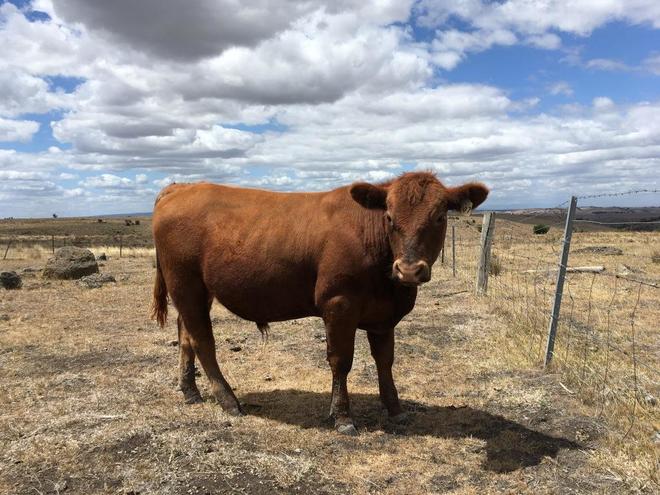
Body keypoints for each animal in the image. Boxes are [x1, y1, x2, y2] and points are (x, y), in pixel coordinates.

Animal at [151, 172, 488, 435]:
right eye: (390, 217)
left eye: (440, 217)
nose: (408, 270)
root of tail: (181, 187)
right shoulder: (338, 305)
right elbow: (341, 361)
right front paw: (342, 417)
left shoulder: (383, 316)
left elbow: (385, 361)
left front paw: (395, 409)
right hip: (185, 284)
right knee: (203, 341)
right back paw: (229, 402)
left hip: (198, 291)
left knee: (185, 335)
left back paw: (190, 391)